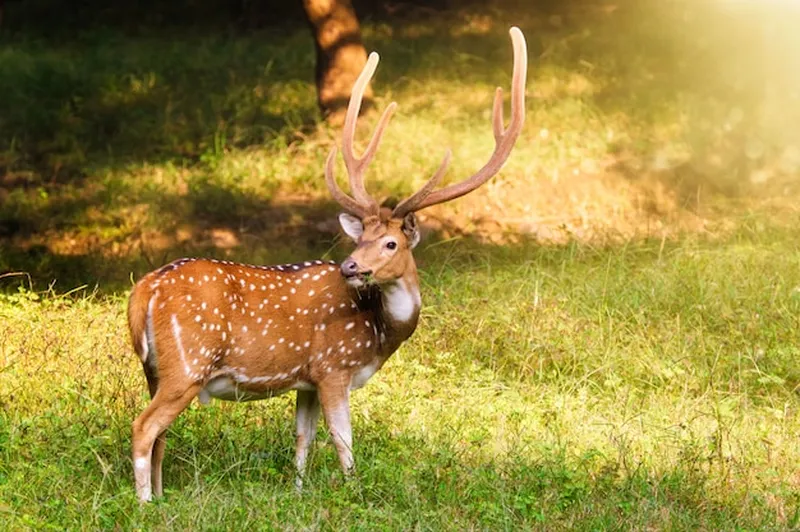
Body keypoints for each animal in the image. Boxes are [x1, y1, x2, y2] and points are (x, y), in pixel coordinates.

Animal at [128, 26, 528, 502]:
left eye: (390, 242)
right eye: (360, 239)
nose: (350, 267)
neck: (378, 333)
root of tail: (143, 292)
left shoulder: (308, 379)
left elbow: (304, 437)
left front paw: (298, 492)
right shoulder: (335, 367)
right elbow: (344, 440)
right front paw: (354, 493)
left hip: (154, 369)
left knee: (159, 434)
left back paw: (161, 495)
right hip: (188, 363)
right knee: (143, 427)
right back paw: (144, 503)